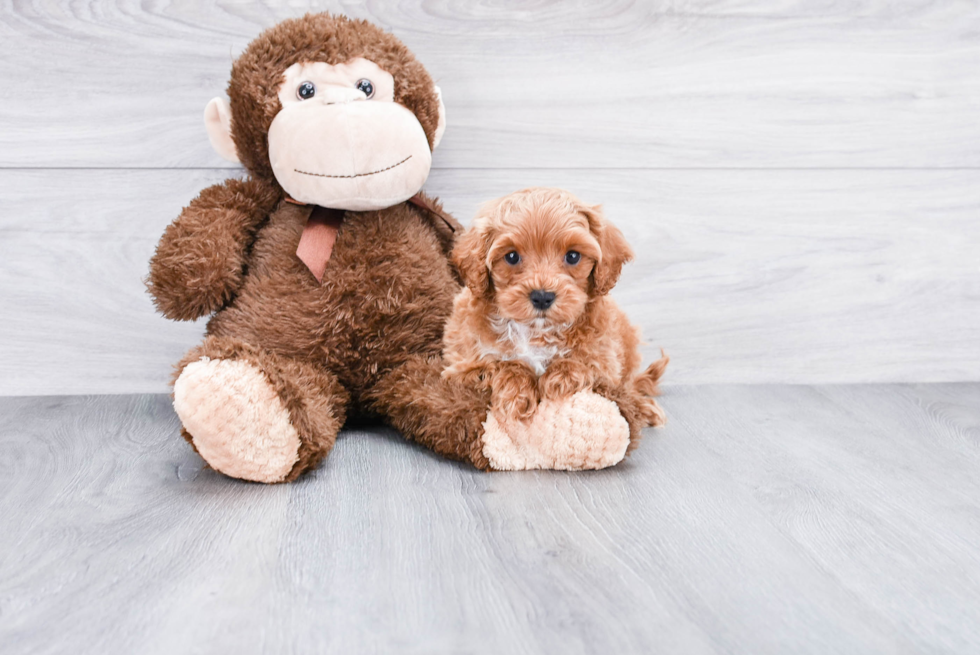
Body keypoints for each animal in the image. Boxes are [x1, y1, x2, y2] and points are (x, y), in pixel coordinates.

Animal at [442, 187, 668, 428]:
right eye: (511, 256)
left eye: (573, 256)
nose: (542, 297)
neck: (536, 331)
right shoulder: (458, 369)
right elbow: (502, 364)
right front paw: (517, 393)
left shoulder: (605, 363)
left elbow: (585, 365)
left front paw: (561, 377)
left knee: (629, 387)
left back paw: (643, 407)